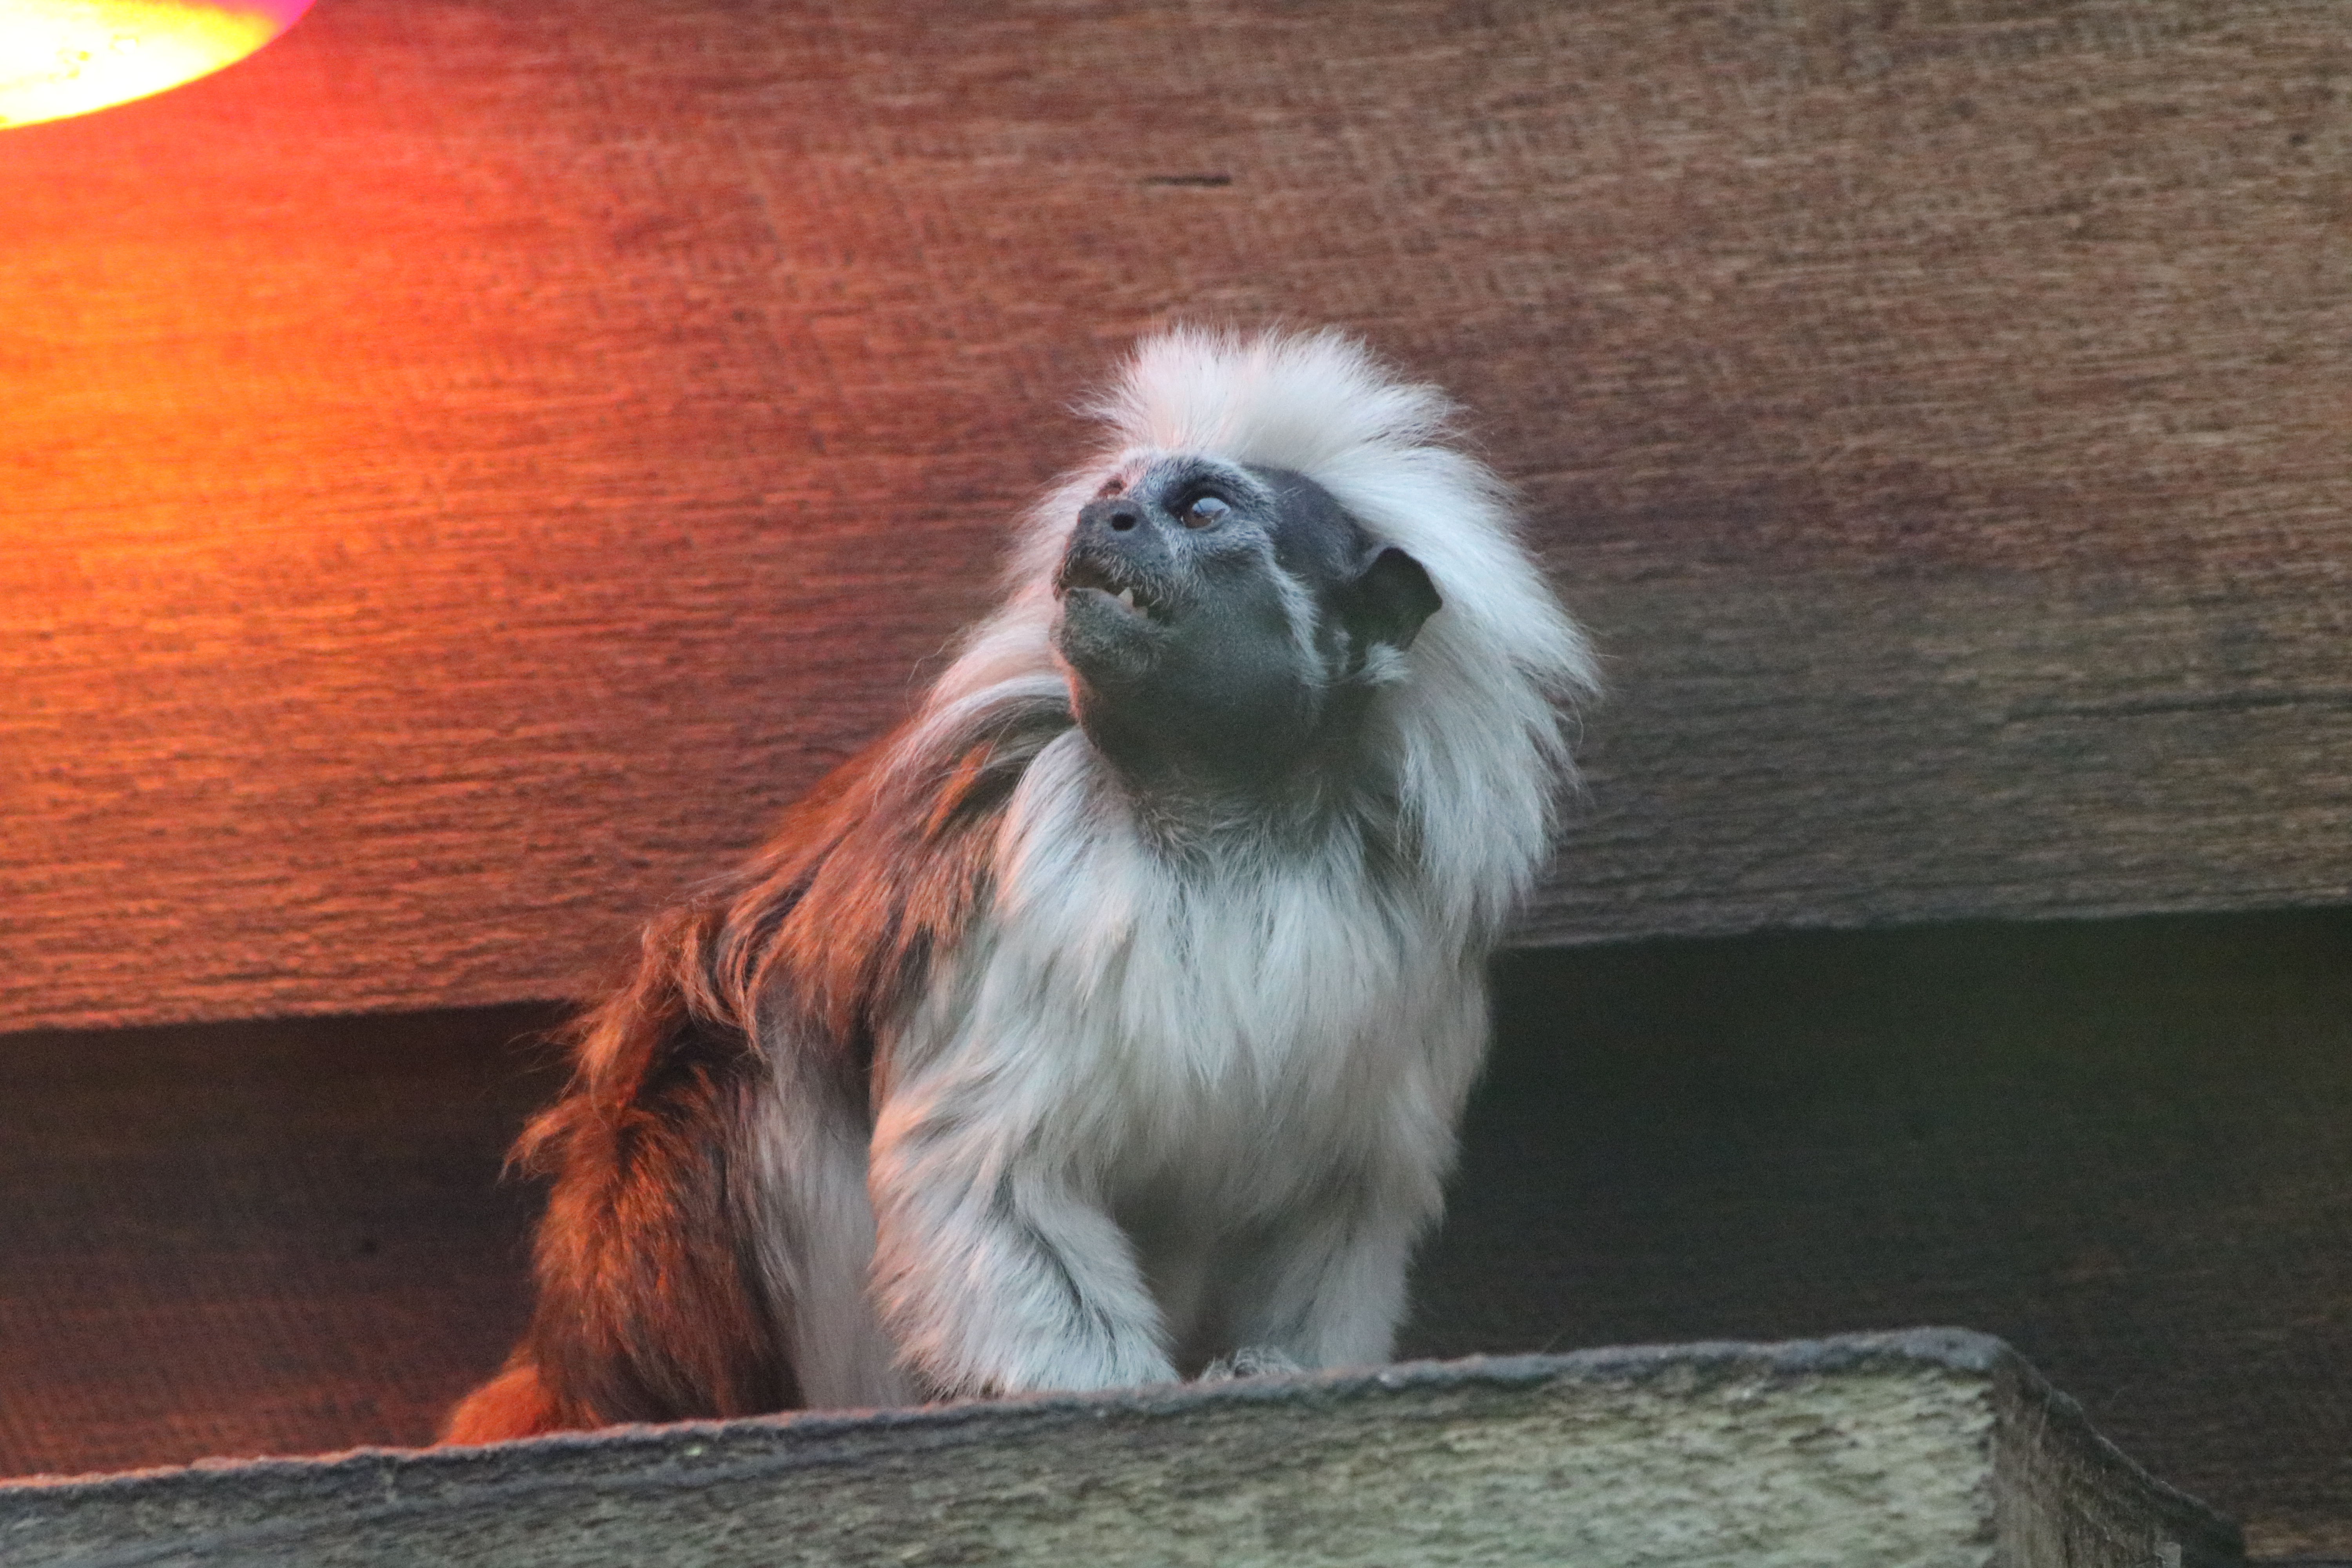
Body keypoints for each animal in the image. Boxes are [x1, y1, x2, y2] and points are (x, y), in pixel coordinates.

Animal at [442, 331, 1599, 1448]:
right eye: (1119, 493)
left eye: (1203, 508)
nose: (1106, 519)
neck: (1227, 835)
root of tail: (583, 1363)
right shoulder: (1030, 900)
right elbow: (993, 1177)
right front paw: (1111, 1390)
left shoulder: (1407, 954)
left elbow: (1328, 1209)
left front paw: (1269, 1366)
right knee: (743, 1071)